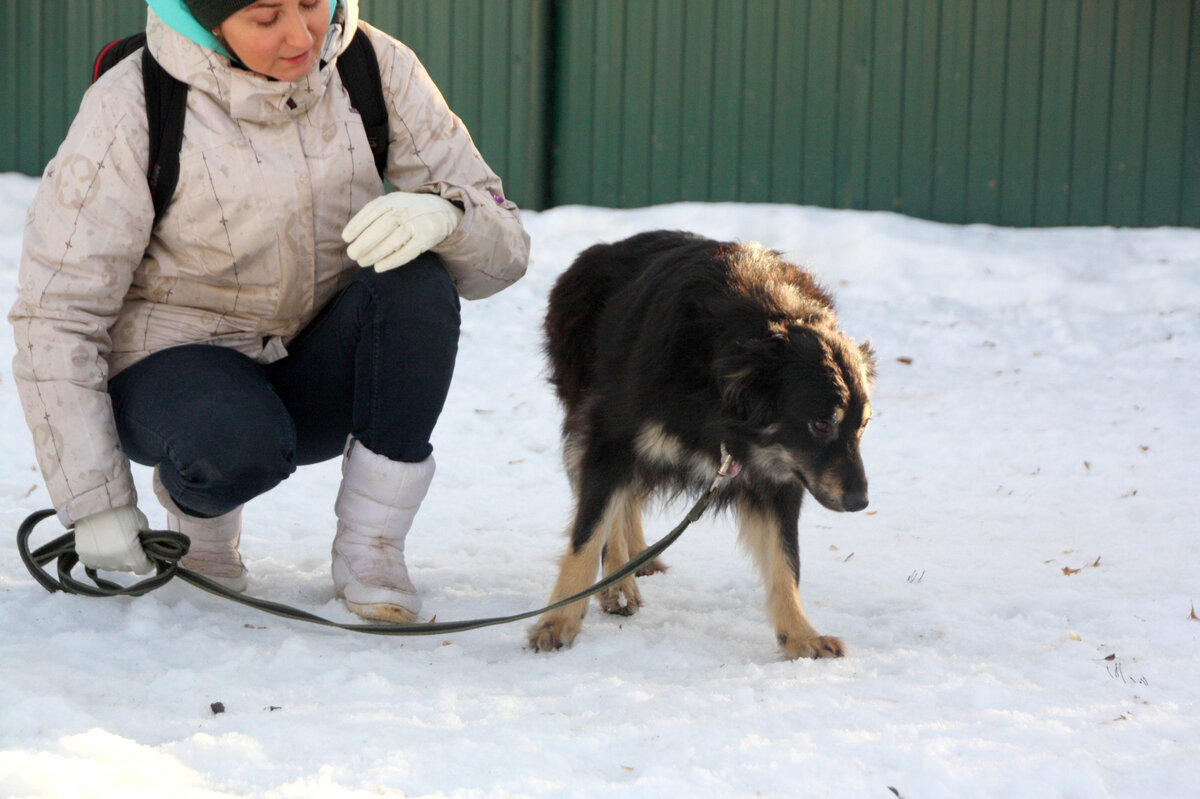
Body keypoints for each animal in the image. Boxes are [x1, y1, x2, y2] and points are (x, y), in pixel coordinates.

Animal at [525, 226, 873, 657]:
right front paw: (558, 622)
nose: (860, 502)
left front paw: (800, 636)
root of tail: (602, 249)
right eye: (821, 424)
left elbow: (786, 559)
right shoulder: (610, 438)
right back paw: (618, 580)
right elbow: (587, 536)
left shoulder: (779, 471)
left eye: (863, 426)